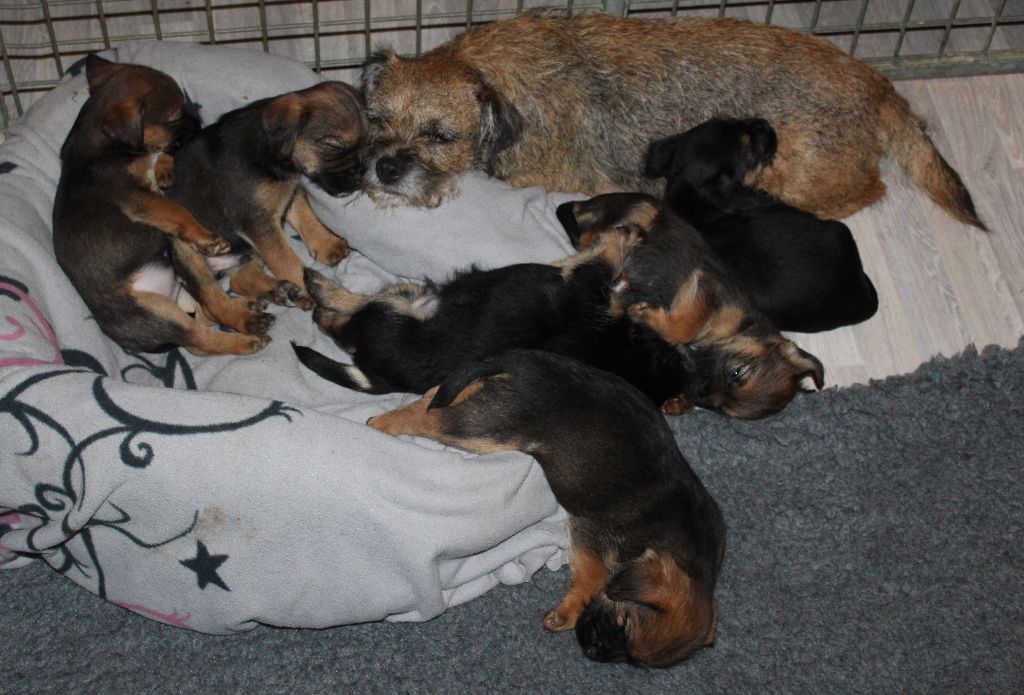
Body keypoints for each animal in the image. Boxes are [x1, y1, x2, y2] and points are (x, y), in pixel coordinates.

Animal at [54, 55, 274, 356]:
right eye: (176, 117)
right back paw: (246, 334)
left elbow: (160, 155)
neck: (102, 146)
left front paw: (165, 169)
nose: (199, 122)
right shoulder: (140, 199)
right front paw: (206, 237)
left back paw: (248, 308)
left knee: (204, 318)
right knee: (201, 334)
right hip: (157, 306)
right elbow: (176, 210)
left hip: (181, 273)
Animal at [163, 80, 364, 309]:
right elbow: (285, 258)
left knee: (239, 279)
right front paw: (309, 289)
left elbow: (305, 217)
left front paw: (327, 244)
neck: (269, 152)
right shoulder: (256, 221)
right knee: (214, 301)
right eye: (332, 145)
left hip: (248, 253)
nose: (360, 176)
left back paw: (275, 291)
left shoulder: (288, 193)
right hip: (186, 251)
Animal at [360, 10, 983, 228]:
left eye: (441, 136)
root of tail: (876, 82)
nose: (385, 168)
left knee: (870, 187)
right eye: (377, 121)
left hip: (797, 169)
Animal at [368, 350, 729, 671]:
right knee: (429, 416)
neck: (683, 551)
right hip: (486, 428)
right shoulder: (591, 535)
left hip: (482, 415)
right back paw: (382, 423)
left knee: (434, 397)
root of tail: (525, 358)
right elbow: (592, 578)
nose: (593, 652)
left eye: (632, 660)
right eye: (622, 623)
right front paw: (567, 614)